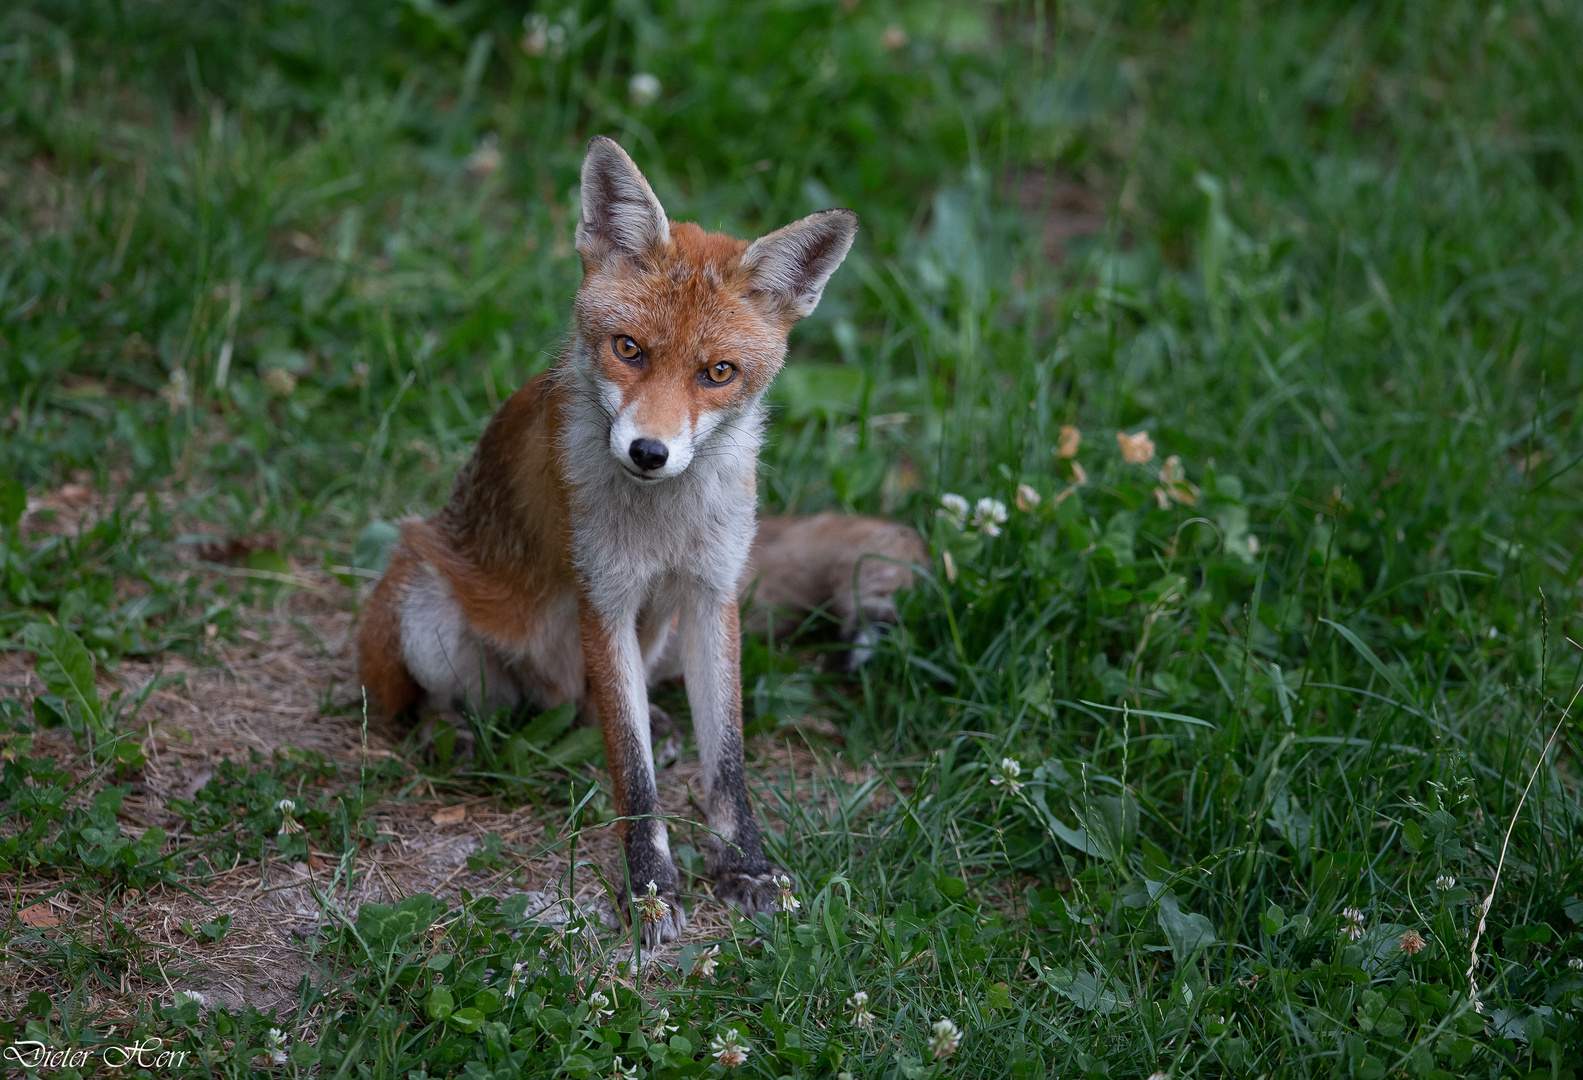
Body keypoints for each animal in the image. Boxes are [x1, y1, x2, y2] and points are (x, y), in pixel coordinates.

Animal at [356, 136, 924, 943]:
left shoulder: (714, 594)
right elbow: (632, 771)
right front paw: (652, 888)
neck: (665, 522)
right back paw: (456, 734)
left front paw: (745, 869)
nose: (649, 452)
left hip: (662, 629)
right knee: (449, 704)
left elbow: (728, 763)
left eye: (717, 372)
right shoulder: (605, 597)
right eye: (627, 349)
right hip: (422, 610)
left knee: (598, 706)